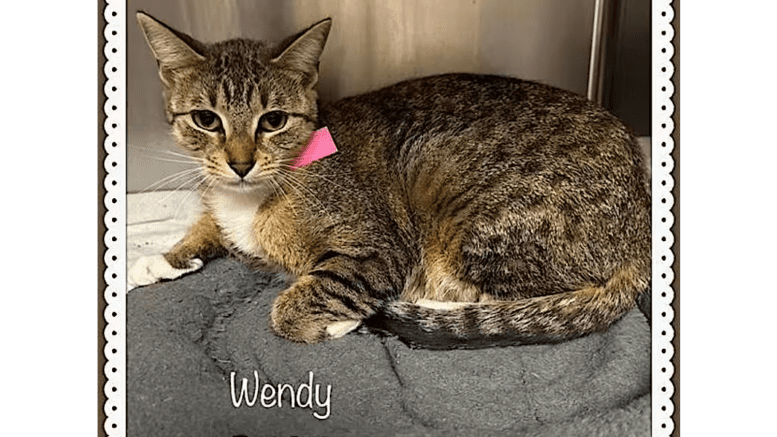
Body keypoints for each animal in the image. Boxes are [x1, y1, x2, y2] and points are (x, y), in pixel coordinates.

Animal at [130, 11, 652, 350]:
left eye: (273, 120)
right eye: (206, 119)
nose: (240, 164)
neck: (251, 196)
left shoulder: (378, 251)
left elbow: (298, 302)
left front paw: (328, 322)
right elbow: (205, 226)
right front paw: (162, 258)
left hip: (467, 201)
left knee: (518, 299)